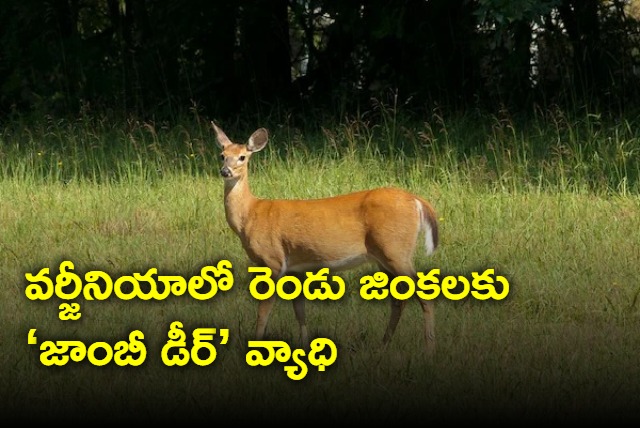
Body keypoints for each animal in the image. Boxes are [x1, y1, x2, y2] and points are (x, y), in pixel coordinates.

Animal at [213, 122, 440, 355]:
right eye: (222, 155)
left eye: (242, 157)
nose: (225, 171)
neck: (250, 214)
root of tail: (417, 200)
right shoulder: (295, 269)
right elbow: (300, 311)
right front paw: (304, 347)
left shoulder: (273, 260)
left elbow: (263, 312)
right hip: (383, 256)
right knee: (398, 300)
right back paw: (383, 344)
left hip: (395, 249)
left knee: (424, 295)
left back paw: (429, 348)